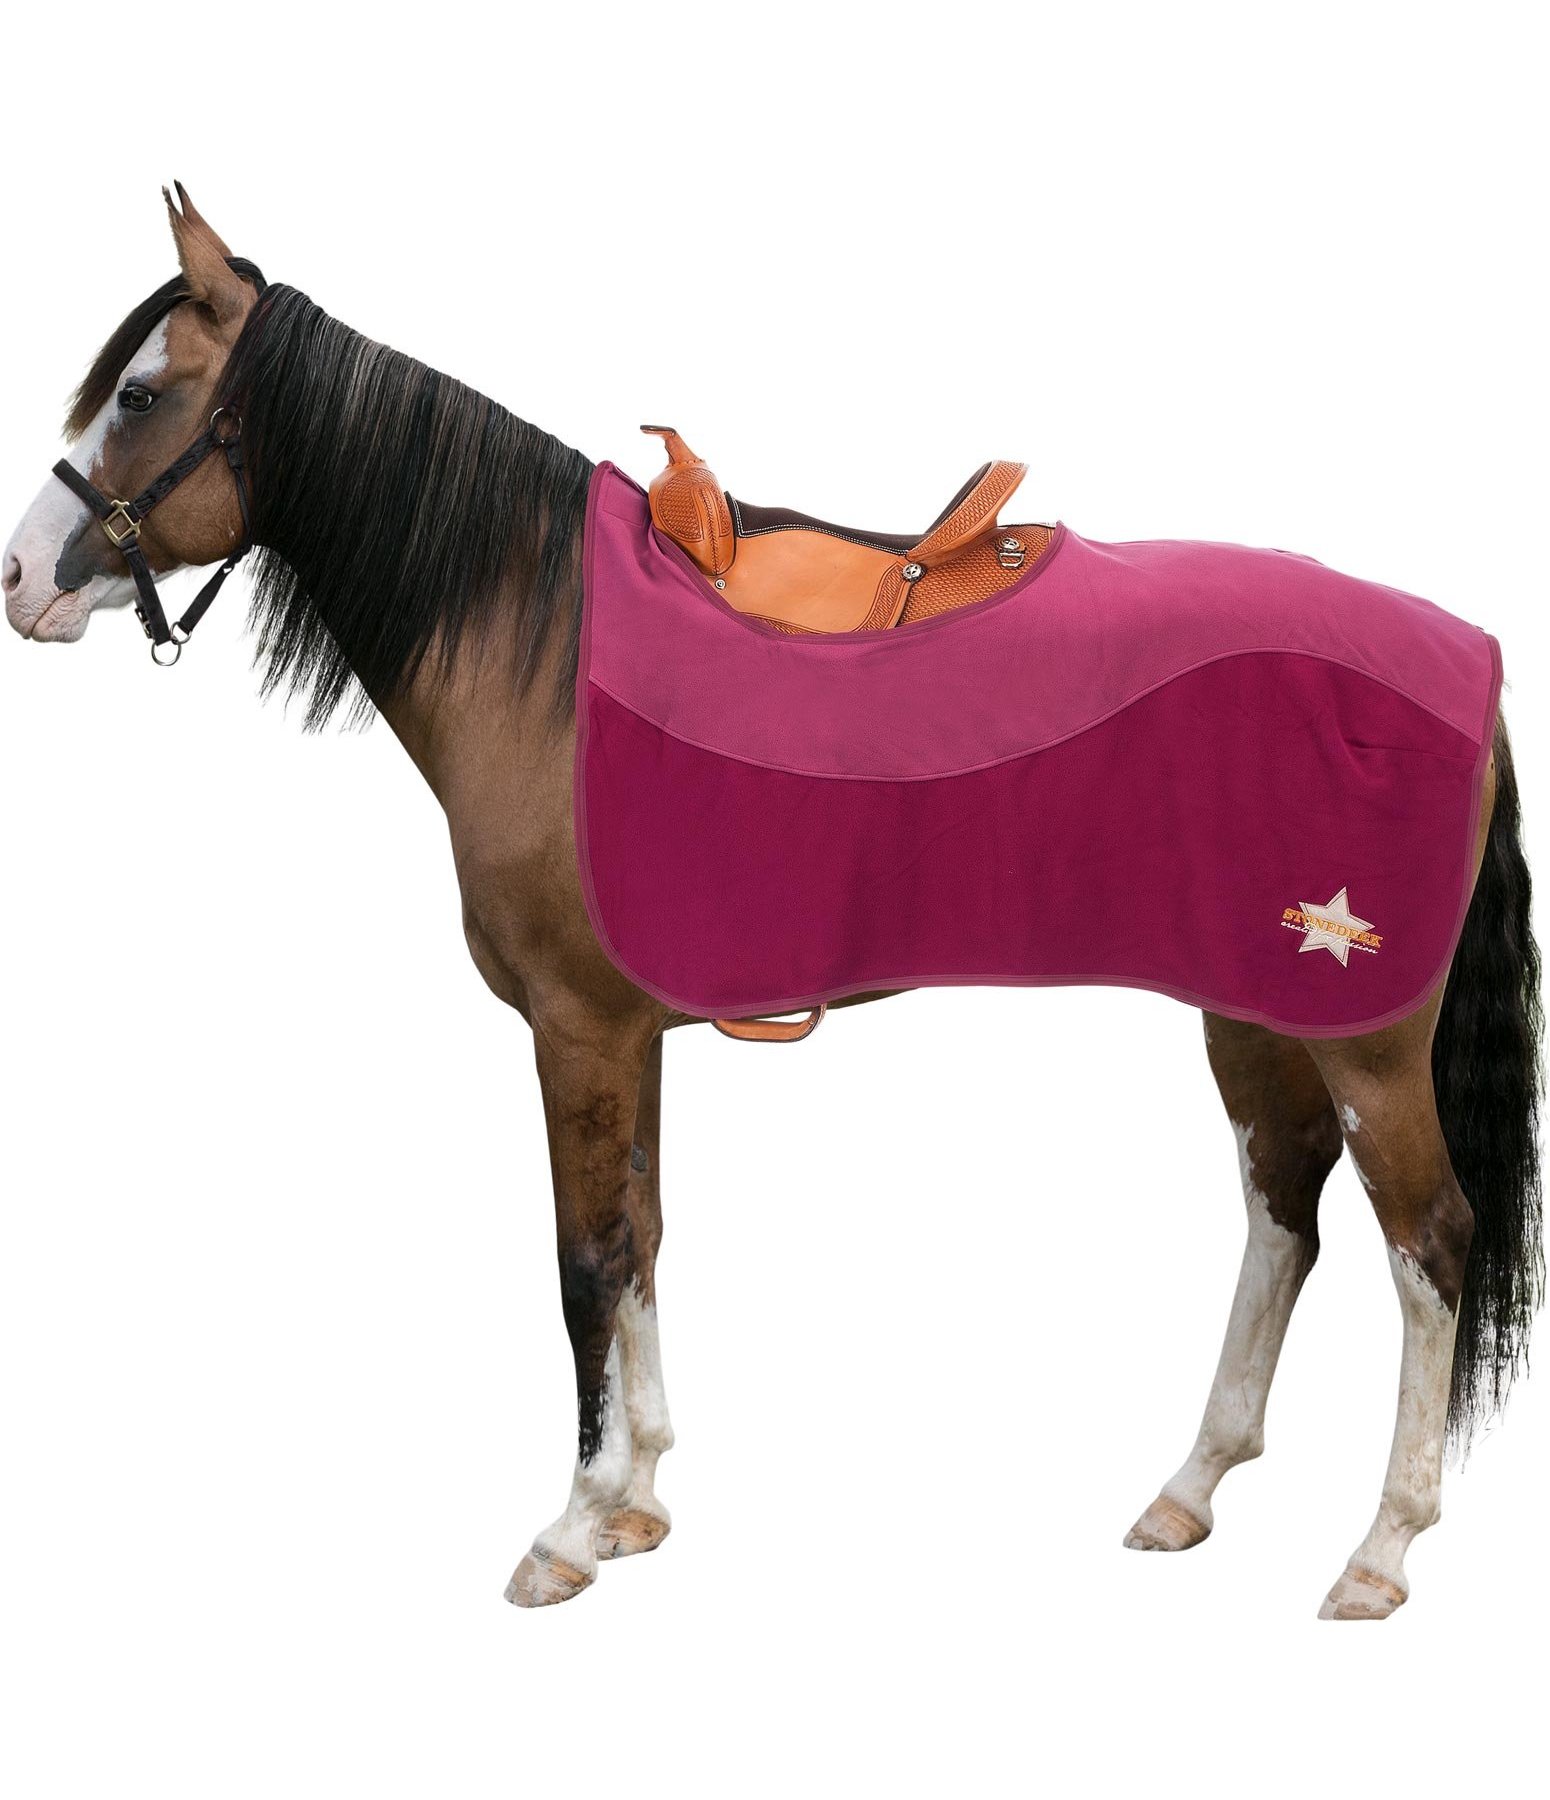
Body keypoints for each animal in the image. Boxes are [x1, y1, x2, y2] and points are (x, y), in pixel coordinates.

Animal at [4, 187, 1541, 1620]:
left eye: (138, 395)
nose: (20, 579)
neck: (541, 645)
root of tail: (1467, 663)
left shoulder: (576, 1031)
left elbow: (583, 1262)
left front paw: (570, 1531)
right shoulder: (626, 1035)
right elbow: (640, 1239)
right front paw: (637, 1497)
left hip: (1365, 1036)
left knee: (1428, 1244)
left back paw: (1379, 1550)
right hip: (1254, 1006)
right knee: (1283, 1210)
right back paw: (1190, 1486)